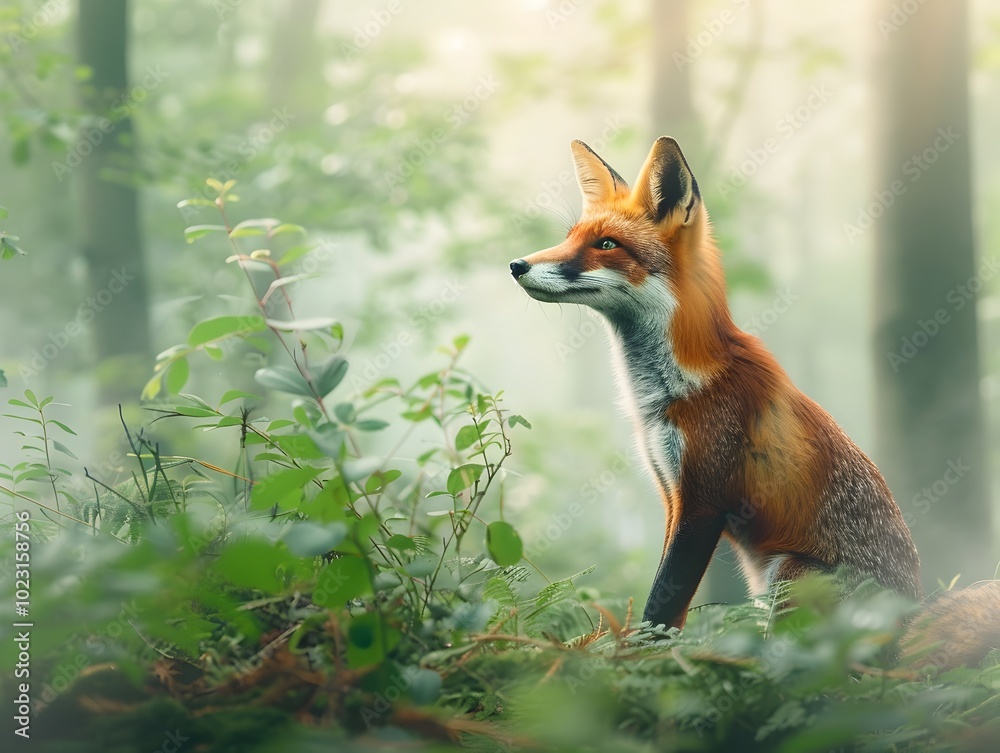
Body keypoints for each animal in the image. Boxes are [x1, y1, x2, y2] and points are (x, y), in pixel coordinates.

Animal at [509, 136, 1000, 668]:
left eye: (605, 245)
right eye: (571, 237)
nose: (517, 265)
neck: (671, 389)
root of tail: (904, 632)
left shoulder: (703, 501)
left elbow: (663, 602)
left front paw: (638, 663)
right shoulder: (671, 494)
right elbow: (666, 604)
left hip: (788, 574)